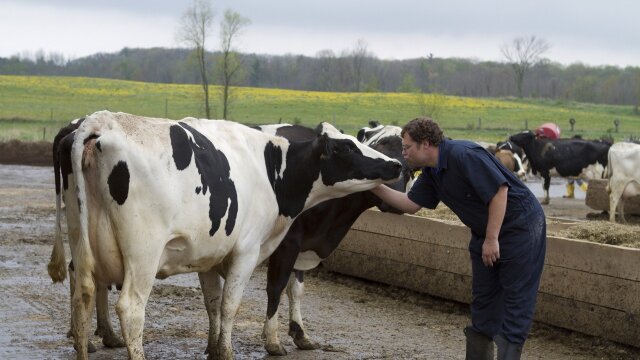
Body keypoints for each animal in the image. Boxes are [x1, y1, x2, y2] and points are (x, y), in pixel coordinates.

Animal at [255, 121, 416, 354]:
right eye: (378, 148)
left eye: (409, 169)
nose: (393, 204)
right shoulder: (288, 242)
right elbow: (276, 286)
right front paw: (272, 340)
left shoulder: (303, 246)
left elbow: (296, 289)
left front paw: (300, 333)